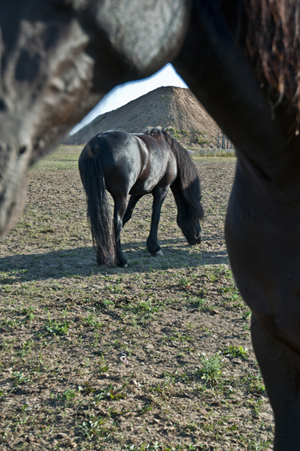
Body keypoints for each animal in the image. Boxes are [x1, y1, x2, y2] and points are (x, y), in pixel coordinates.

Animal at [78, 127, 204, 266]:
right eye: (195, 215)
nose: (198, 238)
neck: (170, 153)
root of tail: (98, 142)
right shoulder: (162, 190)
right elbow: (155, 217)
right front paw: (154, 248)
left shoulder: (138, 193)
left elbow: (128, 216)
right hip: (121, 197)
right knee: (116, 223)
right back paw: (121, 260)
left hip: (95, 195)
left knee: (101, 222)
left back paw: (102, 256)